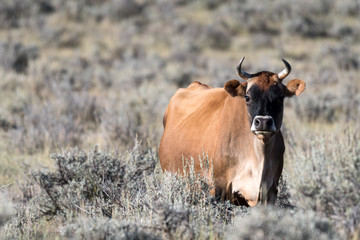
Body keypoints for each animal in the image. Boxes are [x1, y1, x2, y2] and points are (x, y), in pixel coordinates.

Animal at [159, 58, 306, 206]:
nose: (263, 122)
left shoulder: (270, 193)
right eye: (247, 97)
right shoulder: (218, 188)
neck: (259, 157)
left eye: (280, 97)